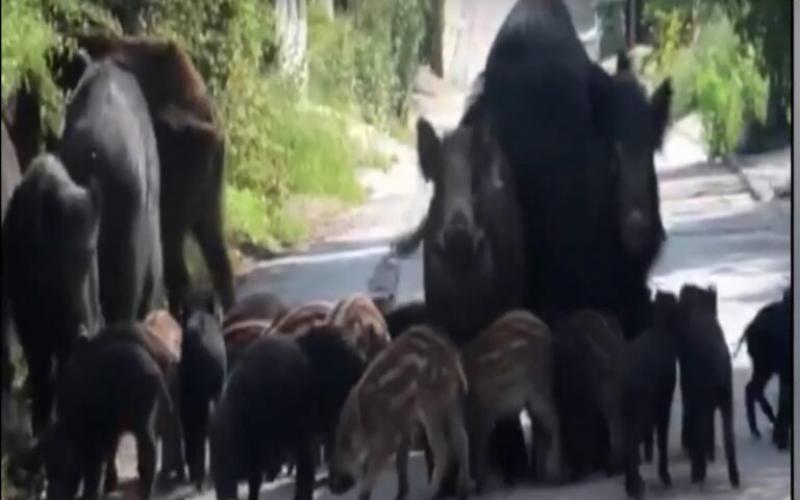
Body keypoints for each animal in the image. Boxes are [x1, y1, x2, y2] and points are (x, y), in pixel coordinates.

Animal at [328, 325, 471, 500]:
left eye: (344, 446)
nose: (332, 487)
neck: (364, 422)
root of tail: (451, 354)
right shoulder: (403, 425)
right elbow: (400, 460)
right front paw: (400, 494)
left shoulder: (388, 435)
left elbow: (376, 465)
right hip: (451, 398)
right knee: (461, 438)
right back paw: (462, 490)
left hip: (431, 404)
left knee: (442, 446)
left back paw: (430, 491)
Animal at [461, 310, 561, 491]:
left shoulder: (480, 416)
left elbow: (477, 449)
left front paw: (479, 487)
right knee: (542, 425)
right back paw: (541, 474)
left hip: (539, 388)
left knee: (553, 420)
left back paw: (555, 474)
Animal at [675, 284, 739, 488]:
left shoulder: (690, 390)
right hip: (727, 400)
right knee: (728, 436)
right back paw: (734, 478)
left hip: (705, 399)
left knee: (701, 429)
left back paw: (698, 474)